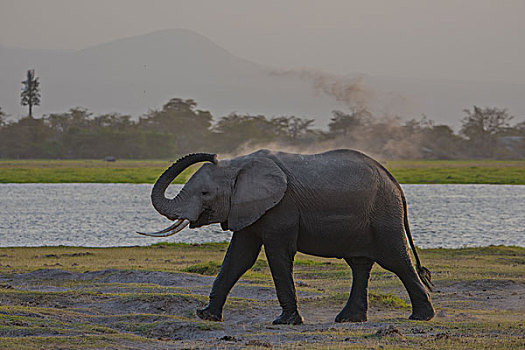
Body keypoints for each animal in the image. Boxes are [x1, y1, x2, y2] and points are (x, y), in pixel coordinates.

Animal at [138, 150, 434, 326]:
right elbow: (238, 259)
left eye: (204, 194)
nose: (212, 154)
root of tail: (396, 185)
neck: (239, 165)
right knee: (359, 264)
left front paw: (285, 322)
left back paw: (421, 317)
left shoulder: (282, 209)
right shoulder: (248, 208)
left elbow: (278, 256)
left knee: (397, 261)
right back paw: (348, 320)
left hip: (384, 217)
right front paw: (206, 316)